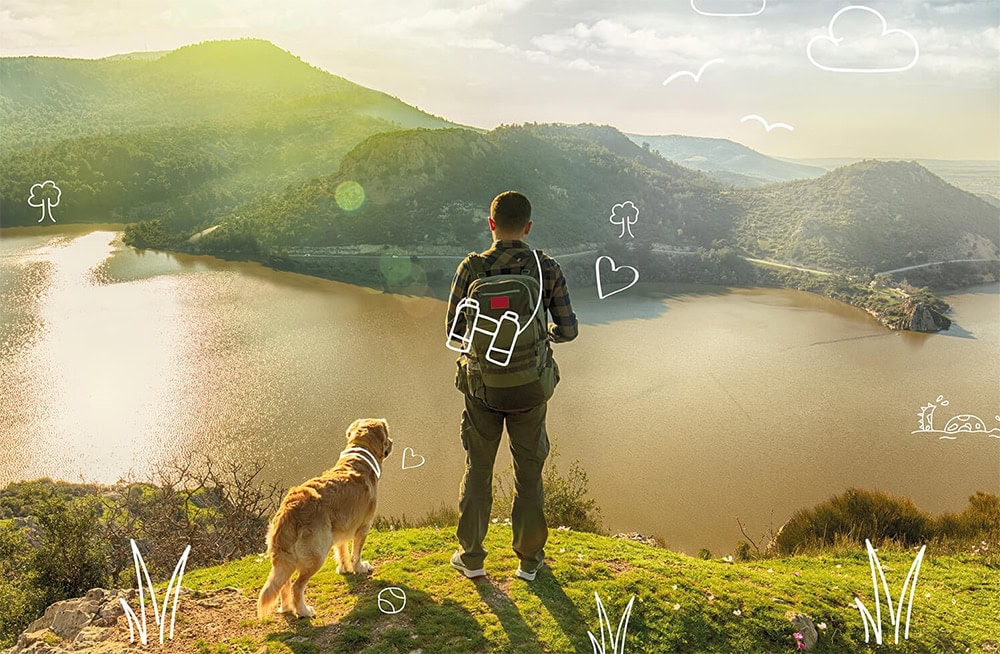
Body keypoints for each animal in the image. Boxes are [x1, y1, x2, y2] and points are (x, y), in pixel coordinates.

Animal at [256, 420, 392, 620]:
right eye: (387, 434)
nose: (392, 442)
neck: (359, 457)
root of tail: (289, 510)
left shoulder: (341, 530)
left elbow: (342, 551)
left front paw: (345, 569)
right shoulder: (363, 526)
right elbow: (356, 553)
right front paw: (359, 568)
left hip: (286, 558)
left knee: (284, 583)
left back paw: (287, 608)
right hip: (317, 553)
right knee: (297, 586)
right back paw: (303, 611)